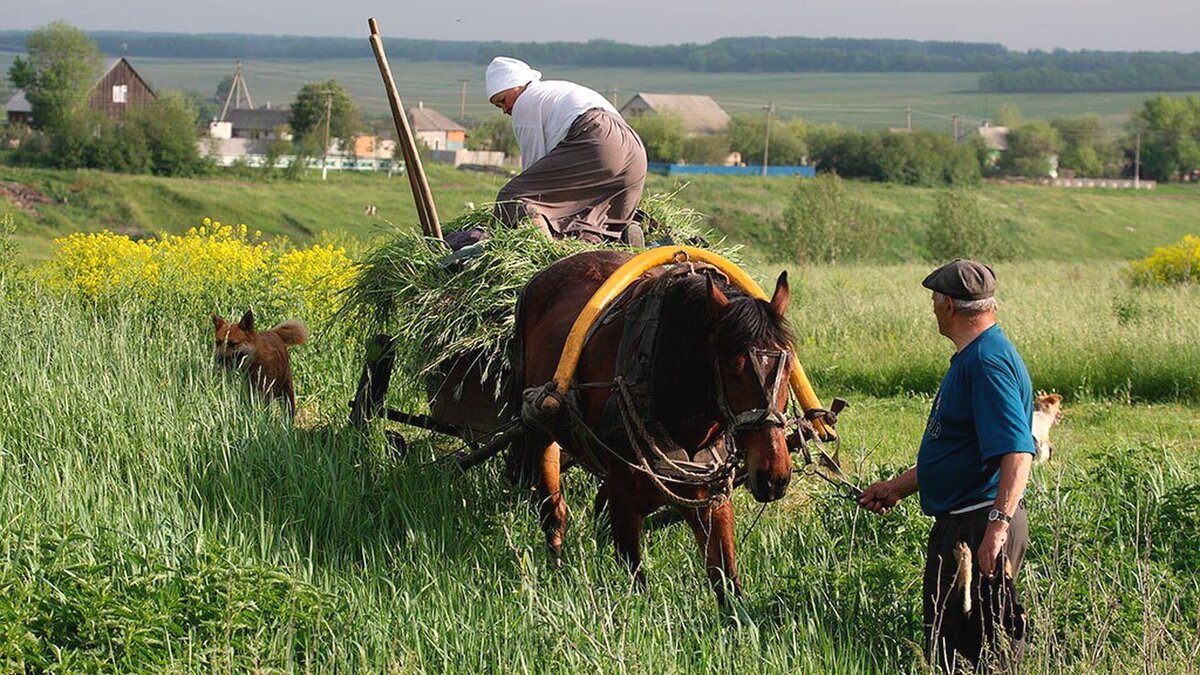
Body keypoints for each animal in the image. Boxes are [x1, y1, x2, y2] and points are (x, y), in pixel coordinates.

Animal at [508, 248, 796, 598]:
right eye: (734, 369)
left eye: (789, 363)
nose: (773, 477)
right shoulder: (623, 503)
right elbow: (638, 584)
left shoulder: (710, 498)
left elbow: (727, 583)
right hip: (539, 422)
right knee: (553, 510)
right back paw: (558, 566)